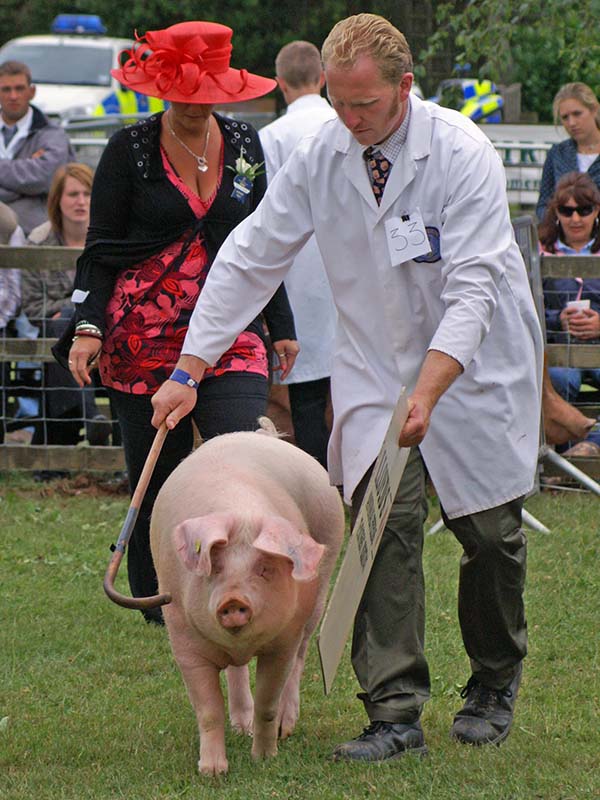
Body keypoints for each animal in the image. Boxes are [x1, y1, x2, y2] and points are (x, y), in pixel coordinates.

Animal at [150, 418, 344, 776]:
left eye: (265, 569)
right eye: (215, 567)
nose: (233, 600)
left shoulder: (283, 642)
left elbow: (268, 702)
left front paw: (265, 758)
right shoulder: (183, 638)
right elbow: (208, 709)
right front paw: (212, 773)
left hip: (320, 587)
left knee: (301, 656)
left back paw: (284, 728)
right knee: (236, 670)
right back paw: (241, 727)